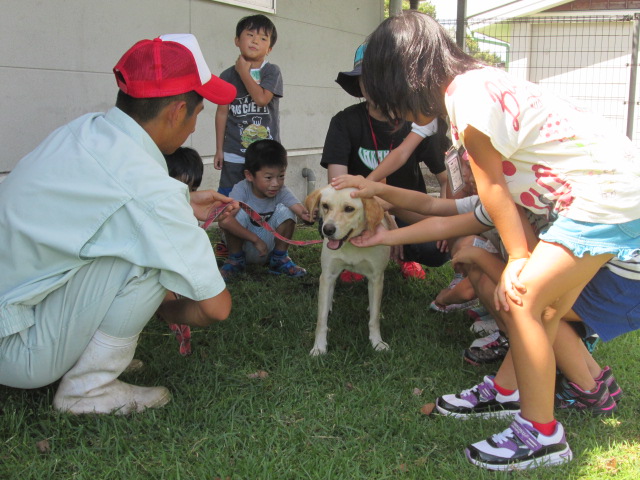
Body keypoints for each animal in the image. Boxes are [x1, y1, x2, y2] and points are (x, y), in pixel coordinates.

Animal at [304, 185, 391, 356]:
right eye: (325, 205)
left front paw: (377, 342)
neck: (350, 244)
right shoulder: (327, 275)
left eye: (349, 209)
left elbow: (374, 319)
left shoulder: (376, 278)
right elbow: (321, 320)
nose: (327, 230)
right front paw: (319, 347)